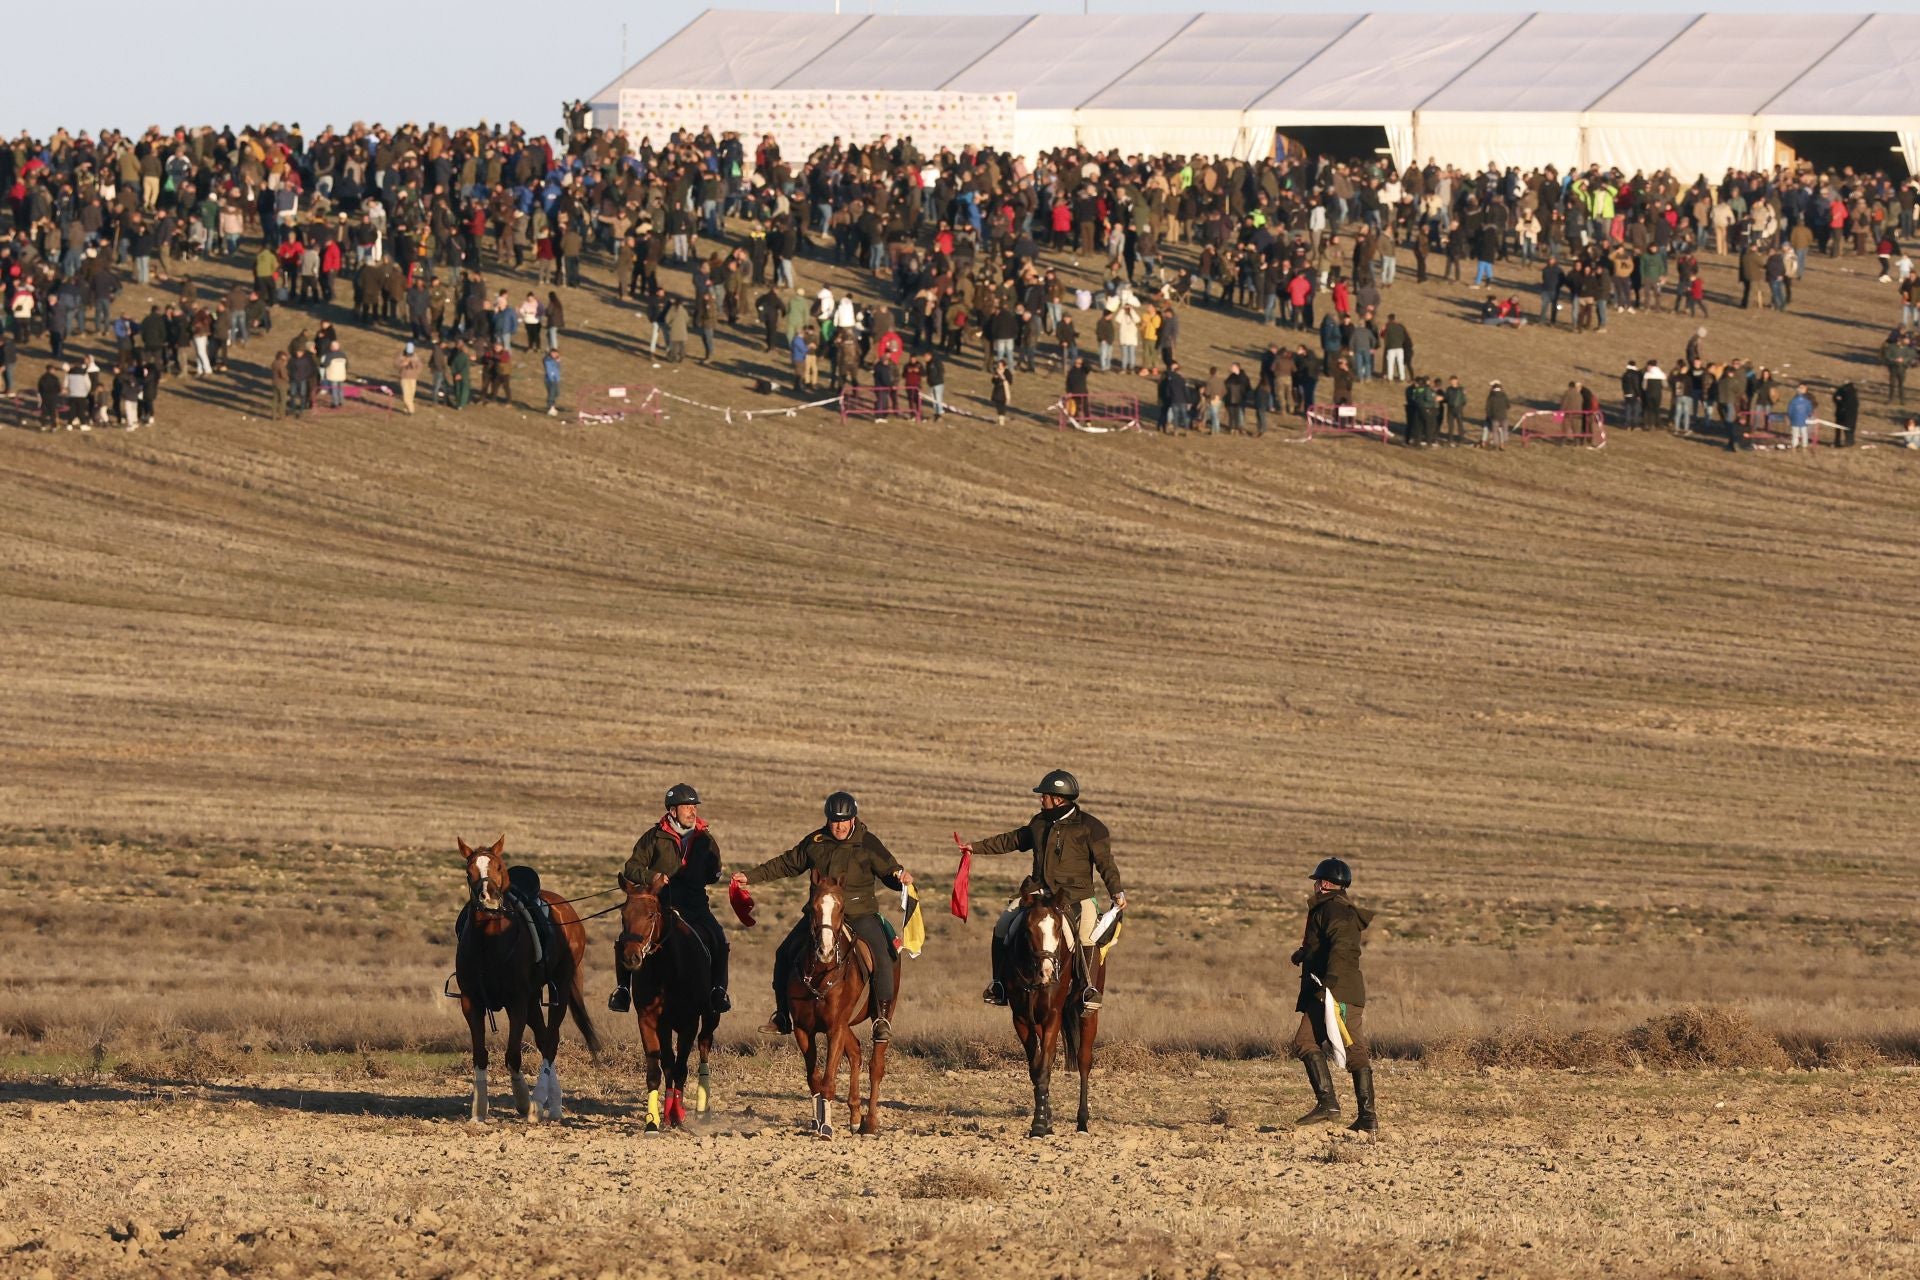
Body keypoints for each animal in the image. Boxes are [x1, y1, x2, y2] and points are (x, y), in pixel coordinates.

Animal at [614, 875, 721, 1136]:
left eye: (651, 914)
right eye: (623, 914)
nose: (631, 957)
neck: (668, 969)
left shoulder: (689, 1022)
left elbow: (682, 1068)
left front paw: (678, 1116)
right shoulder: (648, 1020)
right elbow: (657, 1070)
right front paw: (653, 1121)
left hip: (710, 1018)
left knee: (703, 1048)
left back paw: (700, 1110)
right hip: (665, 1025)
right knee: (669, 1063)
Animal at [783, 871, 894, 1143]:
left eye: (841, 908)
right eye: (811, 908)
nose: (824, 949)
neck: (821, 974)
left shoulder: (834, 1029)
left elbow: (828, 1081)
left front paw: (827, 1128)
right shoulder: (803, 1030)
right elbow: (814, 1079)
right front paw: (816, 1122)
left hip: (878, 1014)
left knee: (876, 1066)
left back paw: (869, 1123)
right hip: (846, 1026)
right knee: (855, 1053)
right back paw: (855, 1117)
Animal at [1006, 875, 1098, 1136]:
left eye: (1057, 928)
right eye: (1028, 930)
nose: (1046, 972)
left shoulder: (1053, 1015)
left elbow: (1044, 1067)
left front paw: (1039, 1125)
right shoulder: (1021, 1018)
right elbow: (1036, 1067)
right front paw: (1043, 1119)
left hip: (1088, 1012)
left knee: (1084, 1060)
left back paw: (1082, 1122)